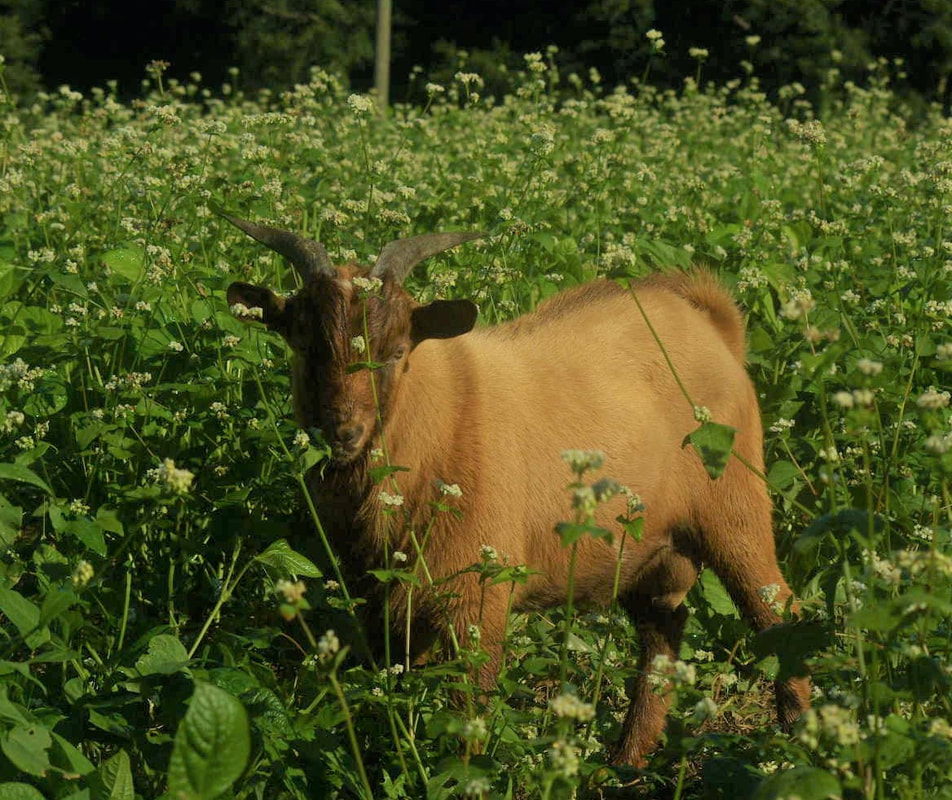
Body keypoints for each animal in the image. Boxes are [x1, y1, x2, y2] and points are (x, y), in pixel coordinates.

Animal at [220, 210, 811, 766]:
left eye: (397, 351)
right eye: (303, 346)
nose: (343, 433)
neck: (438, 417)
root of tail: (714, 324)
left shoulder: (478, 596)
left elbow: (469, 713)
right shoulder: (381, 598)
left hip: (736, 509)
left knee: (781, 613)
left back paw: (799, 738)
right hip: (647, 548)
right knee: (664, 631)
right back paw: (625, 761)